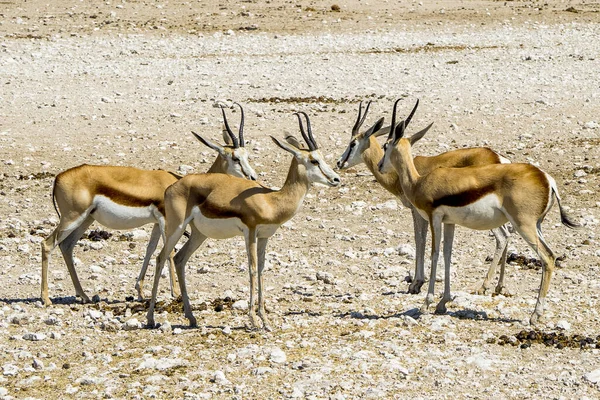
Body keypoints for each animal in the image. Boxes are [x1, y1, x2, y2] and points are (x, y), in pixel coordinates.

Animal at [41, 104, 256, 306]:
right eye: (235, 158)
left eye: (247, 155)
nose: (253, 177)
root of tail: (59, 177)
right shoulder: (166, 220)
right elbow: (169, 252)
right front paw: (175, 293)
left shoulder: (155, 223)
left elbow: (150, 249)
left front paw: (140, 291)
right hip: (72, 217)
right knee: (47, 244)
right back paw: (46, 298)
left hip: (86, 219)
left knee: (67, 246)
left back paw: (84, 295)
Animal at [145, 111, 340, 330]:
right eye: (314, 161)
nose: (336, 179)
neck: (271, 200)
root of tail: (172, 186)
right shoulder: (250, 232)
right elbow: (253, 270)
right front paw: (253, 319)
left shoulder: (264, 236)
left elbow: (262, 270)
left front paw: (265, 320)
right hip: (176, 227)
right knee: (161, 257)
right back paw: (151, 319)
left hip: (199, 234)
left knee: (179, 259)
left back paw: (191, 317)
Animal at [338, 100, 510, 294]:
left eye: (352, 143)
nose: (339, 162)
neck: (402, 175)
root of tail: (499, 159)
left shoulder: (418, 211)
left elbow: (419, 239)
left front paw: (416, 283)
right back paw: (499, 285)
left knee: (502, 237)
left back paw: (483, 286)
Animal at [380, 97, 580, 324]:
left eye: (385, 145)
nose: (380, 165)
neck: (418, 182)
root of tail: (547, 179)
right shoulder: (449, 222)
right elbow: (448, 254)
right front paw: (443, 302)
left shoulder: (434, 218)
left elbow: (435, 254)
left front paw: (426, 303)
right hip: (536, 226)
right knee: (549, 256)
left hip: (524, 225)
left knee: (547, 258)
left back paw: (534, 315)